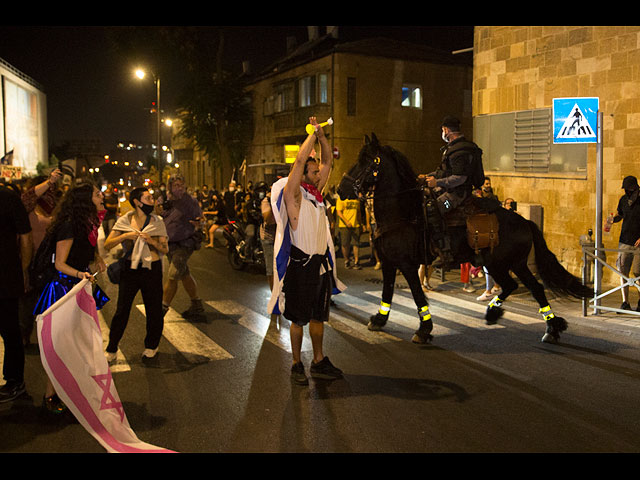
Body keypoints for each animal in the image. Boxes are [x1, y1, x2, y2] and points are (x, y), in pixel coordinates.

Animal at [338, 134, 592, 344]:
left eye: (366, 161)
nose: (341, 189)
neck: (403, 212)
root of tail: (524, 221)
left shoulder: (408, 265)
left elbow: (418, 296)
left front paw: (424, 330)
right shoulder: (389, 263)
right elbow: (387, 292)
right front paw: (379, 320)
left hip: (508, 263)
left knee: (533, 288)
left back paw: (549, 328)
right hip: (501, 264)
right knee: (517, 286)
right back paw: (503, 315)